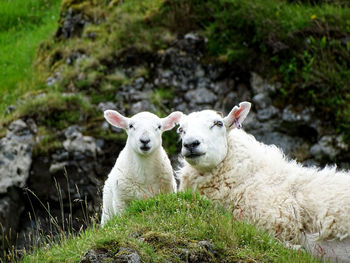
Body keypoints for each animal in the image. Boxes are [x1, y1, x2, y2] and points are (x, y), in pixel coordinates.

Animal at [178, 102, 350, 262]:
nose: (191, 144)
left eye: (218, 123)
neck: (248, 176)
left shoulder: (274, 220)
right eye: (181, 130)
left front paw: (296, 249)